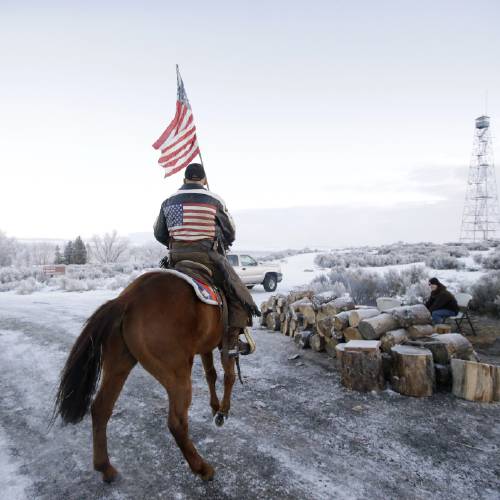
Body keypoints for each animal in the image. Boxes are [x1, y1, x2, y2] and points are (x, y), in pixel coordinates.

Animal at [54, 272, 240, 482]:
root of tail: (126, 300)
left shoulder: (207, 346)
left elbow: (211, 374)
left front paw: (216, 408)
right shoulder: (228, 339)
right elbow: (229, 376)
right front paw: (222, 412)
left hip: (118, 365)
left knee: (101, 408)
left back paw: (105, 468)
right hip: (177, 374)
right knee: (177, 423)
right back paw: (201, 467)